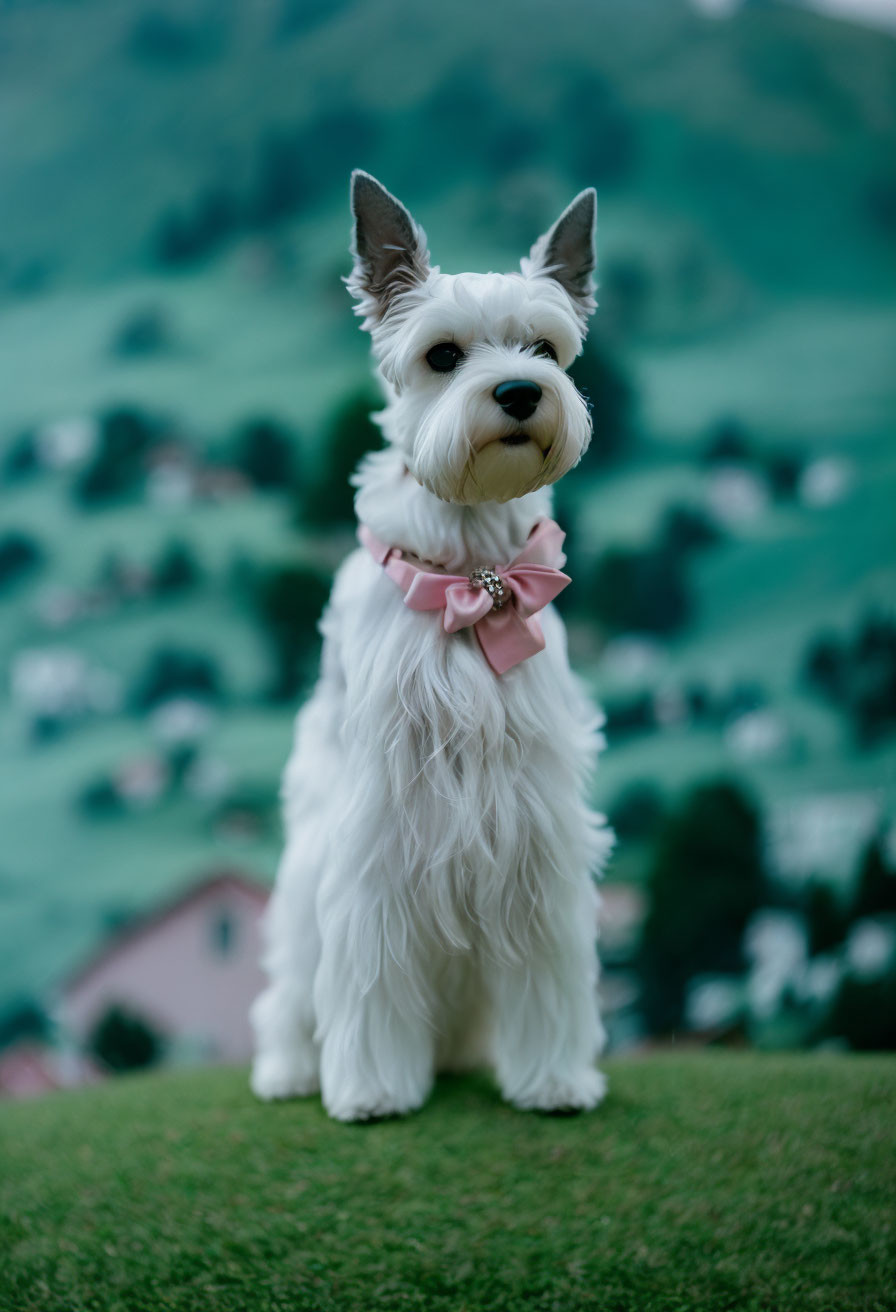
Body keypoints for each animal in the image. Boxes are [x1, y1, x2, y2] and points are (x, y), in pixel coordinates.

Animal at [251, 171, 616, 1117]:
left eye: (544, 347)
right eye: (443, 356)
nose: (520, 393)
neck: (471, 572)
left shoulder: (537, 831)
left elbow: (548, 972)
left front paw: (554, 1078)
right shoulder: (377, 837)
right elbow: (370, 975)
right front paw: (374, 1089)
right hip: (302, 897)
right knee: (289, 997)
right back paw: (292, 1069)